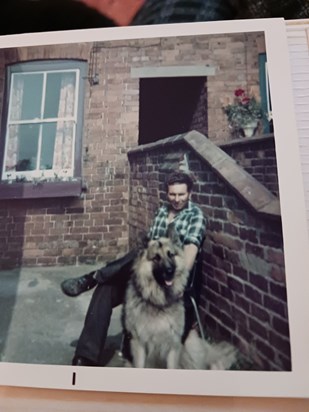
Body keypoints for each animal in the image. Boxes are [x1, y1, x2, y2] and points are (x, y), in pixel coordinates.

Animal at [121, 232, 236, 370]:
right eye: (156, 258)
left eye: (171, 254)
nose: (170, 271)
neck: (159, 302)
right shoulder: (138, 344)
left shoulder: (173, 345)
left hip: (190, 346)